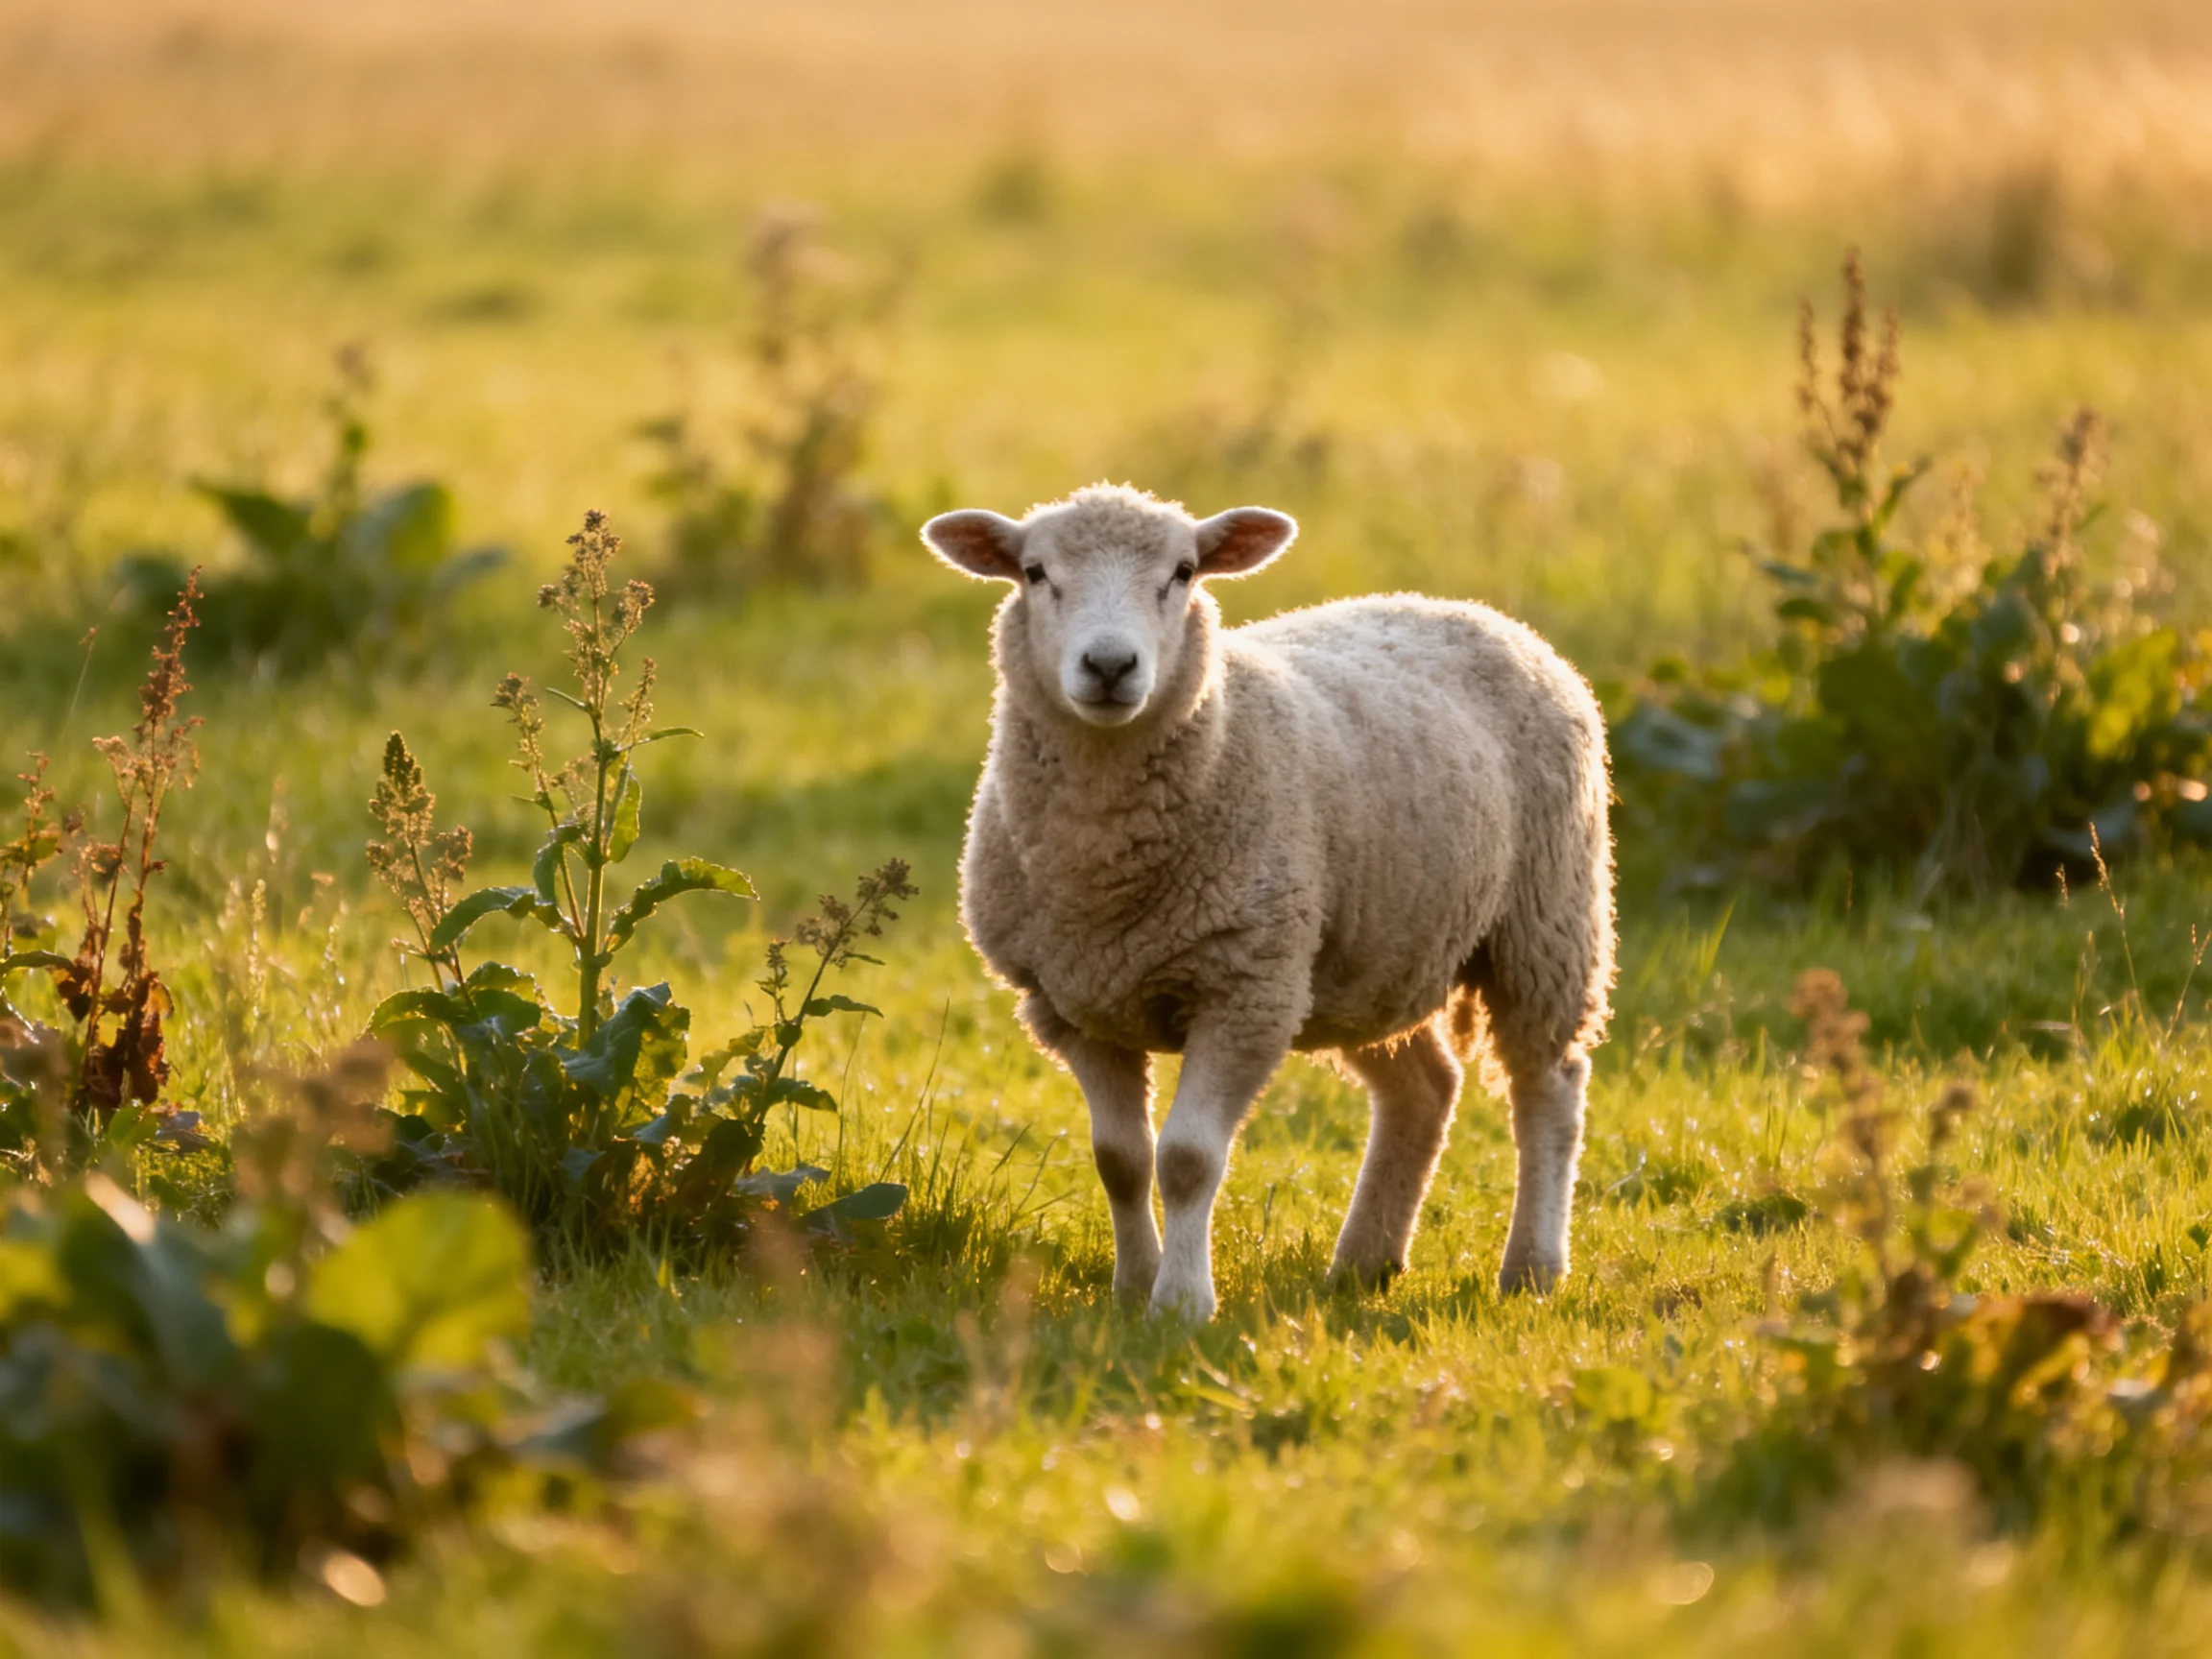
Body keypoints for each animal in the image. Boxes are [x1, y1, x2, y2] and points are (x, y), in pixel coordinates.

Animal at [922, 484, 1615, 1320]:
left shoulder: (1244, 990)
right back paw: (1366, 1261)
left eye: (1184, 572)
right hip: (1368, 953)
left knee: (1550, 1088)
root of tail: (1472, 609)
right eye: (1034, 572)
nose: (1110, 665)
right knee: (1426, 1088)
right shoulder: (1072, 1006)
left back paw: (1533, 1267)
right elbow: (1121, 1159)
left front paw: (1181, 1304)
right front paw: (1131, 1288)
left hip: (1546, 921)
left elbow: (1187, 1158)